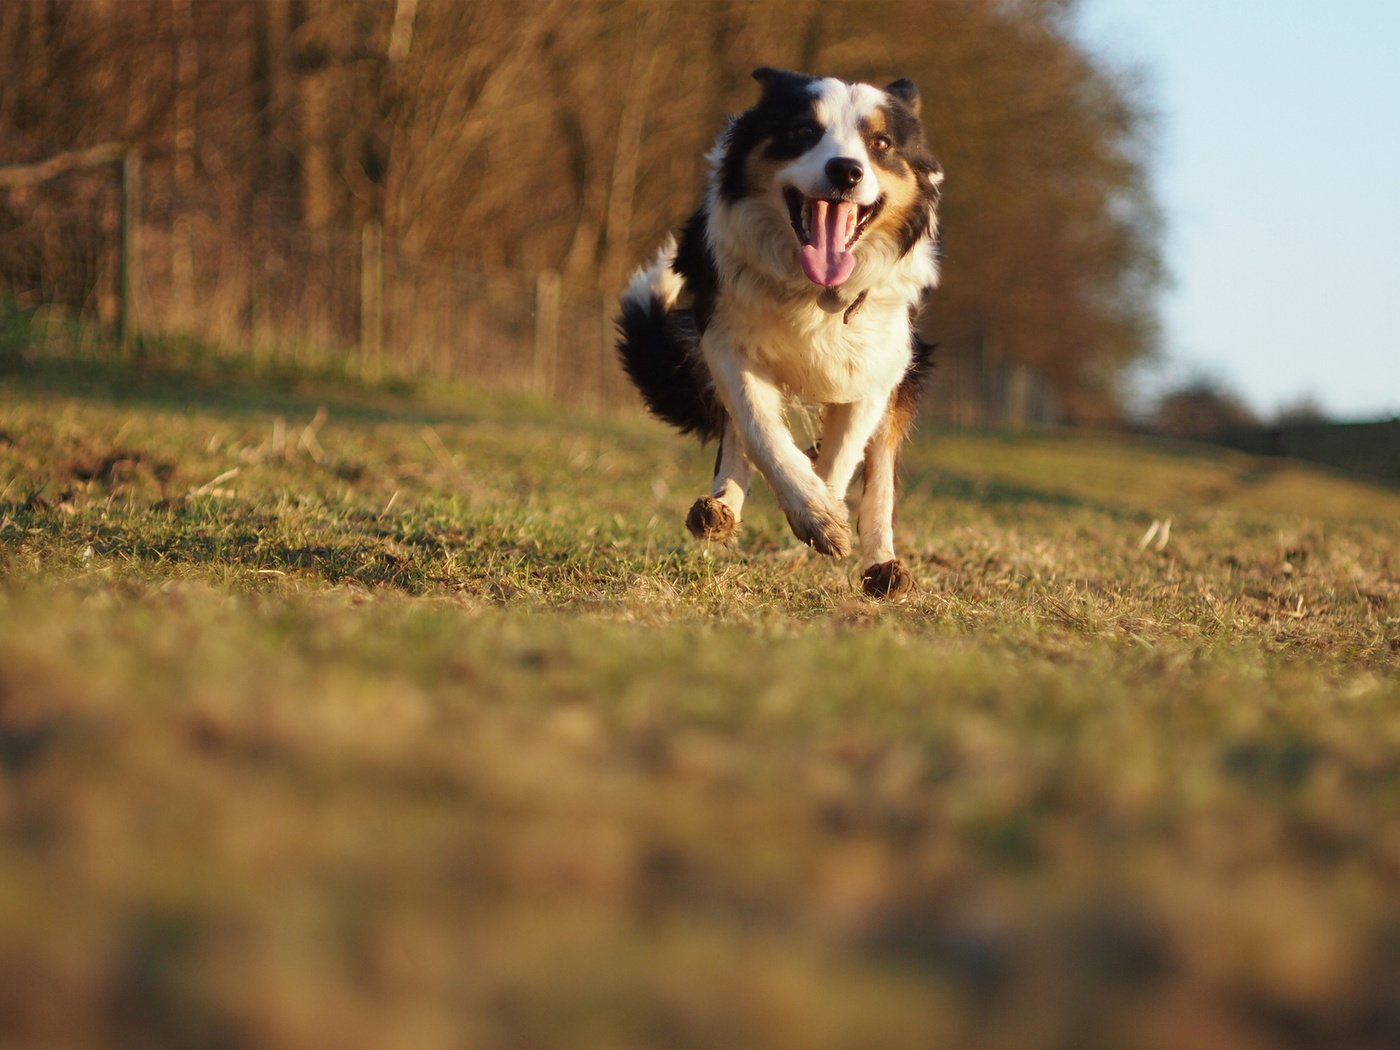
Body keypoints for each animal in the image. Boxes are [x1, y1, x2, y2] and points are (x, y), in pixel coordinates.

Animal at [621, 67, 940, 599]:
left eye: (880, 143)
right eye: (803, 131)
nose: (846, 171)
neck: (814, 290)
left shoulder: (882, 365)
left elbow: (846, 454)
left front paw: (824, 509)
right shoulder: (724, 338)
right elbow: (759, 428)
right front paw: (812, 511)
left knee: (879, 473)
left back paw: (883, 568)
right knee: (739, 436)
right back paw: (719, 510)